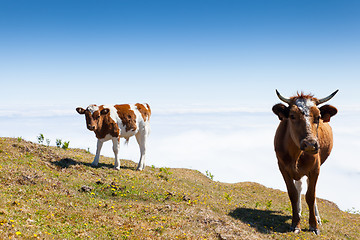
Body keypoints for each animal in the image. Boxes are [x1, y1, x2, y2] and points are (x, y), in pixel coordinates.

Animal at [272, 89, 338, 234]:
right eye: (292, 116)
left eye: (318, 117)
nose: (310, 144)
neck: (296, 155)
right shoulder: (282, 168)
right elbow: (293, 194)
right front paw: (295, 223)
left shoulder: (315, 169)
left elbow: (310, 195)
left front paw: (314, 225)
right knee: (299, 186)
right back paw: (299, 211)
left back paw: (317, 218)